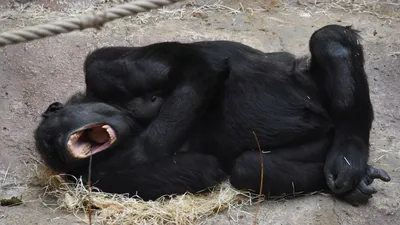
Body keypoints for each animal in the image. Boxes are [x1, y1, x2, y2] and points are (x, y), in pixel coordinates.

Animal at [34, 24, 390, 206]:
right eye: (52, 151)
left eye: (52, 131)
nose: (58, 143)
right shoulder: (98, 177)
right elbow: (204, 168)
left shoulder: (101, 67)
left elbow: (200, 66)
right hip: (318, 143)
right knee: (249, 167)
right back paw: (354, 179)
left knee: (330, 40)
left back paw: (349, 156)